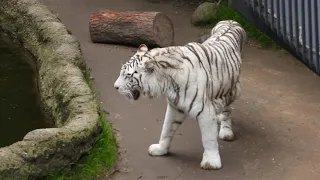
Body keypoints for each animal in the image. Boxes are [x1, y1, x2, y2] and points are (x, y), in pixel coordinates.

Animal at [114, 20, 246, 169]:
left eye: (128, 76)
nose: (115, 87)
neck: (167, 83)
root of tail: (231, 21)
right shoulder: (175, 106)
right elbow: (166, 129)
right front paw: (160, 149)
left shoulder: (204, 111)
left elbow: (208, 138)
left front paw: (211, 162)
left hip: (232, 89)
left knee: (227, 111)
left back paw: (226, 131)